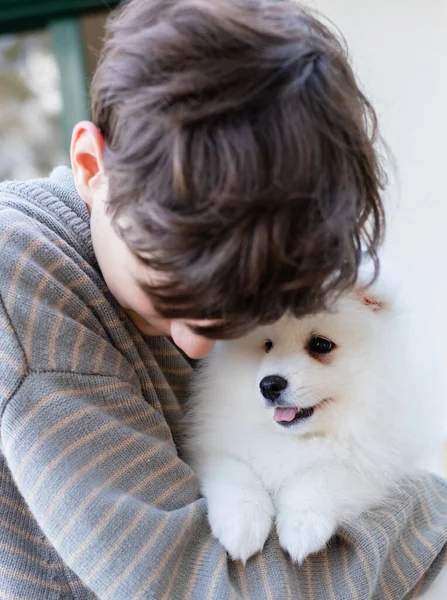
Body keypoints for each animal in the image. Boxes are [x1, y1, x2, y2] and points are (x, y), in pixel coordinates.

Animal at [185, 264, 444, 576]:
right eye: (267, 345)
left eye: (321, 344)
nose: (268, 385)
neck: (300, 439)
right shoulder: (215, 447)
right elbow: (237, 475)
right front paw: (242, 522)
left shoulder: (375, 463)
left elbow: (323, 476)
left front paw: (301, 526)